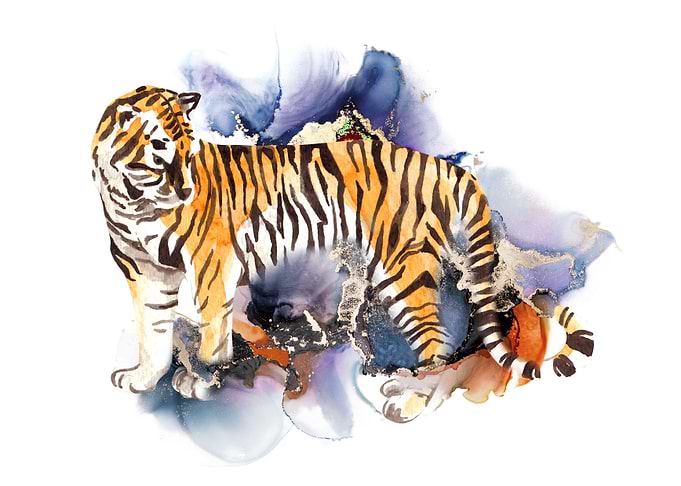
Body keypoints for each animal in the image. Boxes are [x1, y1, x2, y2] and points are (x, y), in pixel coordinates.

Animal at [91, 86, 594, 421]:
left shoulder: (212, 265)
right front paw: (144, 378)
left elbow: (212, 335)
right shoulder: (145, 273)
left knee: (436, 339)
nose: (185, 188)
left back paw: (410, 396)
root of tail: (441, 165)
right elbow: (154, 333)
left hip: (402, 270)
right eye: (162, 148)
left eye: (187, 147)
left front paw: (204, 379)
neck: (130, 198)